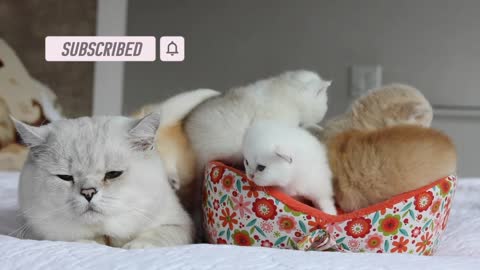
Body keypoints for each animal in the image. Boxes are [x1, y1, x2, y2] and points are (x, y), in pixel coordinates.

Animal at [13, 113, 193, 248]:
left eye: (113, 174)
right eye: (65, 177)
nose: (88, 193)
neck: (105, 234)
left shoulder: (181, 224)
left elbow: (160, 234)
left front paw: (136, 246)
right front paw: (88, 244)